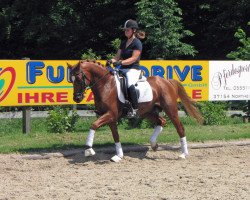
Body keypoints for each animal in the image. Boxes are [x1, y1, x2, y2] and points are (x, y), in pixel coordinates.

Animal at [68, 60, 203, 162]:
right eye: (71, 80)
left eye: (79, 79)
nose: (77, 98)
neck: (105, 85)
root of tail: (167, 81)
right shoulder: (111, 117)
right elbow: (115, 135)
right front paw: (119, 156)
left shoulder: (110, 114)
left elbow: (93, 125)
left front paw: (88, 150)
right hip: (147, 112)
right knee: (161, 121)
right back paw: (154, 144)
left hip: (170, 110)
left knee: (180, 128)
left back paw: (183, 154)